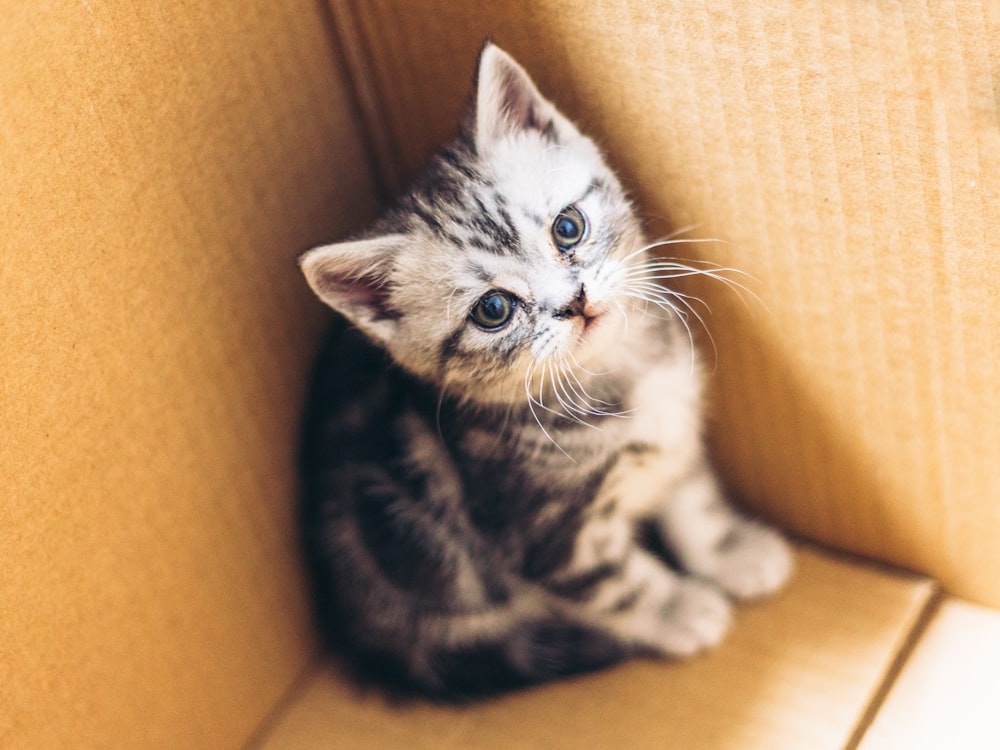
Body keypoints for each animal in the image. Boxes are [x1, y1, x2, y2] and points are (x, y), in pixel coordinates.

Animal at [296, 41, 788, 700]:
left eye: (568, 227)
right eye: (493, 310)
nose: (574, 303)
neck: (623, 379)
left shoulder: (675, 435)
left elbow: (691, 497)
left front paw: (730, 552)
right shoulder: (545, 536)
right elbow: (614, 582)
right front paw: (679, 608)